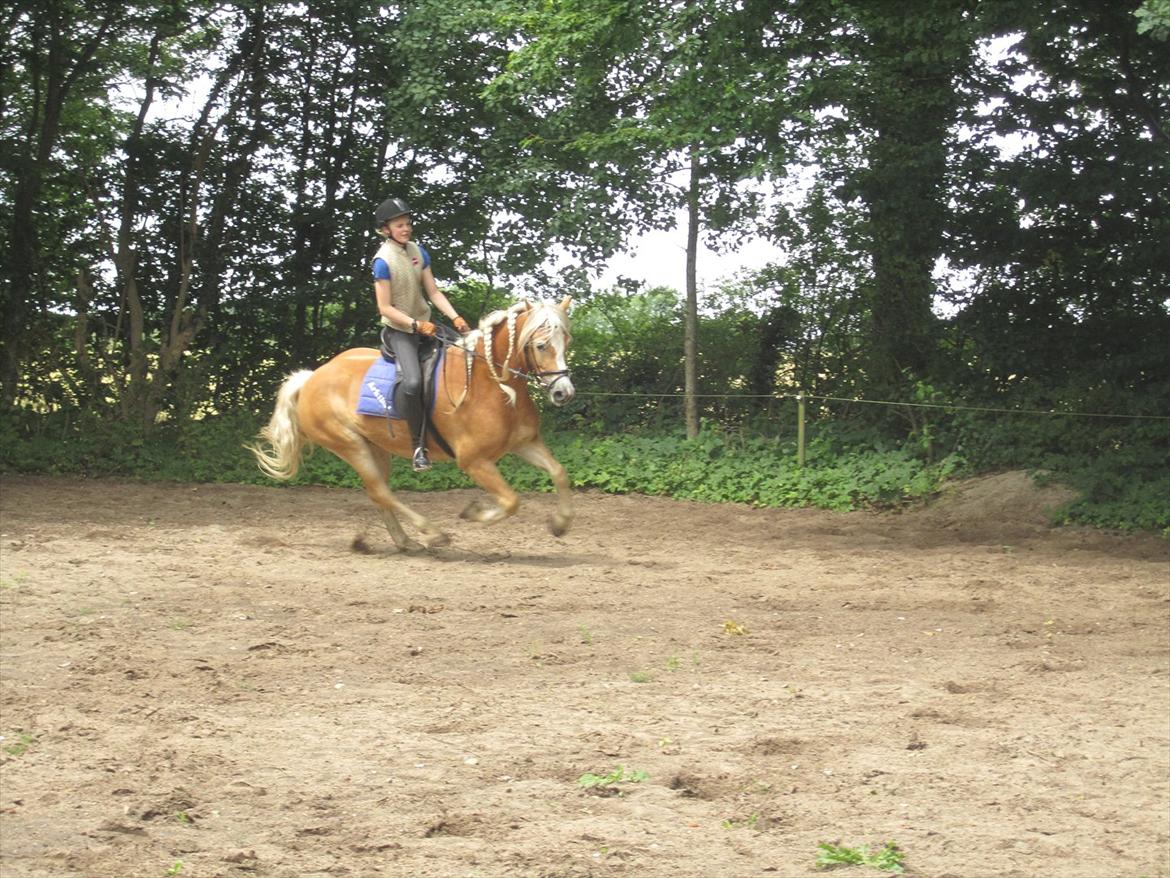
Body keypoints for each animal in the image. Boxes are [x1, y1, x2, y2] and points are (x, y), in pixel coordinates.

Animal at [249, 299, 573, 552]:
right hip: (350, 445)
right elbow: (511, 501)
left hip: (376, 448)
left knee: (379, 494)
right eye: (541, 345)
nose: (563, 393)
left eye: (566, 342)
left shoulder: (524, 443)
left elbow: (559, 473)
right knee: (381, 492)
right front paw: (474, 513)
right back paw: (432, 533)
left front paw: (560, 523)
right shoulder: (475, 461)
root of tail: (313, 376)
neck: (490, 383)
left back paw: (405, 541)